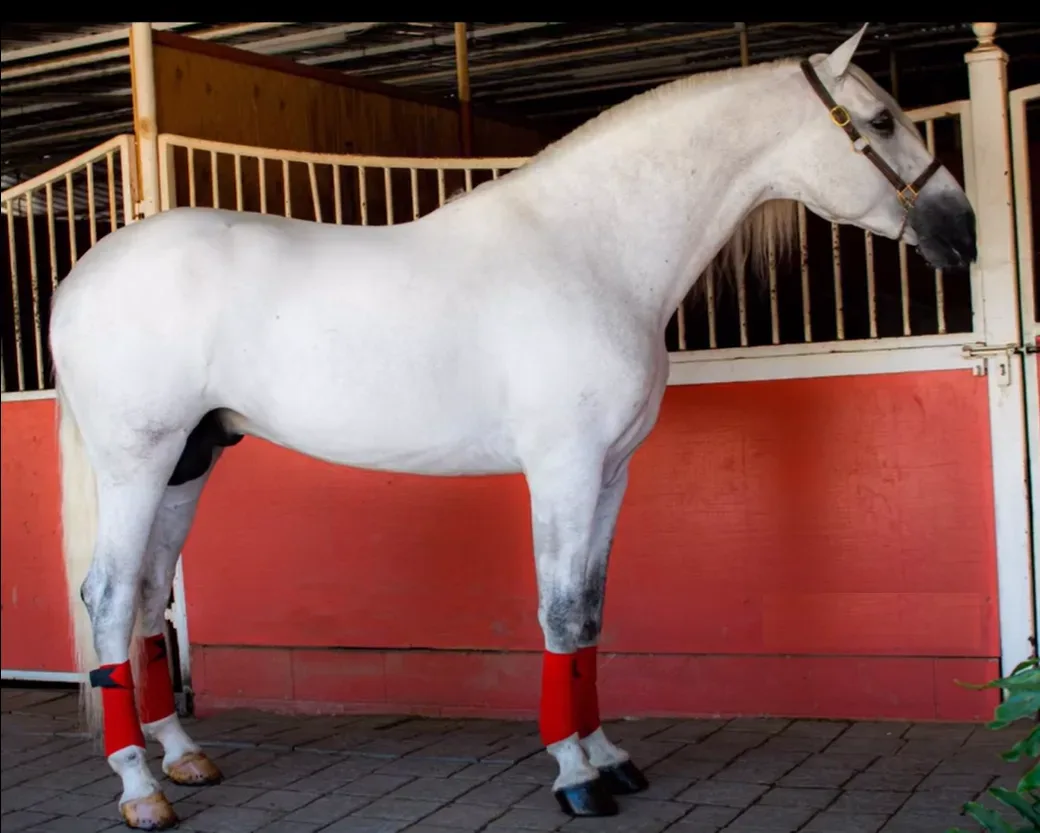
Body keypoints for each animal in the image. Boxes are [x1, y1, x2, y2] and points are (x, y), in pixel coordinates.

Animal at [49, 24, 975, 829]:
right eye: (882, 120)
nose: (963, 232)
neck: (591, 251)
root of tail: (82, 274)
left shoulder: (612, 472)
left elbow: (591, 615)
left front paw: (608, 756)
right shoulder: (564, 468)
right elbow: (560, 613)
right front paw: (575, 775)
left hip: (189, 459)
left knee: (147, 593)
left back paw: (181, 753)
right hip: (137, 462)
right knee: (108, 597)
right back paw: (140, 789)